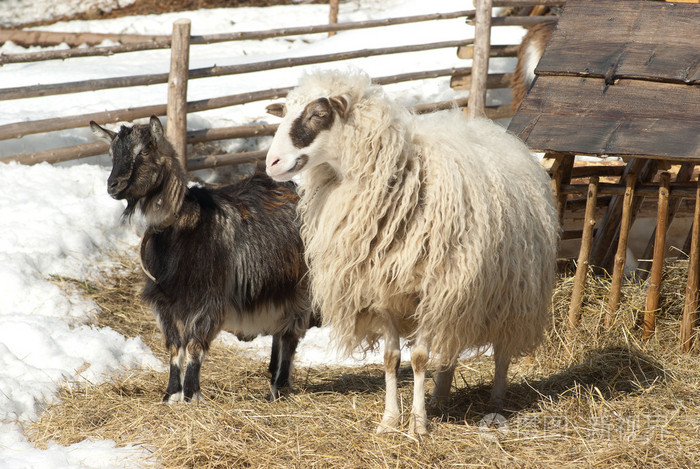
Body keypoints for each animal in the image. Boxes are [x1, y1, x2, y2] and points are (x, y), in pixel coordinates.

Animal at [91, 117, 316, 402]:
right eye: (112, 153)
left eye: (144, 151)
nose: (114, 185)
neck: (185, 227)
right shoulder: (167, 304)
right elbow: (175, 348)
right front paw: (171, 395)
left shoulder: (208, 300)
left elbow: (194, 346)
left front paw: (191, 394)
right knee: (280, 332)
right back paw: (273, 379)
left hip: (300, 287)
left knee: (290, 334)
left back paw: (280, 387)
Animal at [262, 67, 556, 434]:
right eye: (284, 111)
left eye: (318, 114)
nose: (272, 163)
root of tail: (496, 132)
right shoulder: (383, 294)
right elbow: (391, 360)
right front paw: (390, 421)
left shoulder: (432, 291)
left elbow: (418, 359)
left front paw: (417, 424)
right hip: (465, 296)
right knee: (452, 346)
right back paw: (440, 396)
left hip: (513, 292)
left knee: (503, 348)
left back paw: (496, 402)